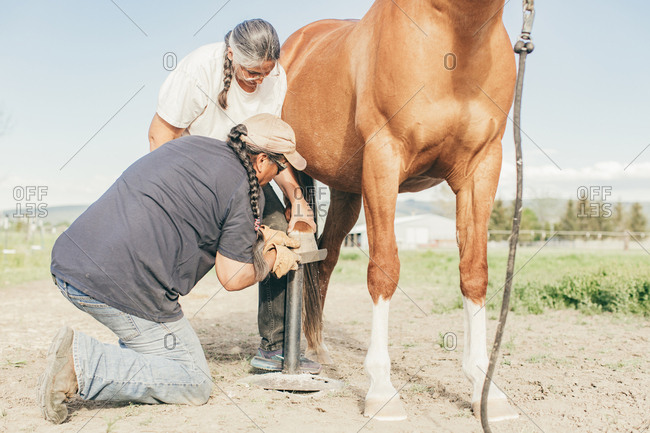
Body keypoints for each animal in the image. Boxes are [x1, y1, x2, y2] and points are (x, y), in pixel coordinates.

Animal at [281, 0, 518, 422]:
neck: (455, 38)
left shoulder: (483, 166)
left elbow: (474, 273)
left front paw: (483, 389)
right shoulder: (384, 160)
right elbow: (384, 270)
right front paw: (381, 389)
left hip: (346, 191)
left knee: (325, 261)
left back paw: (318, 349)